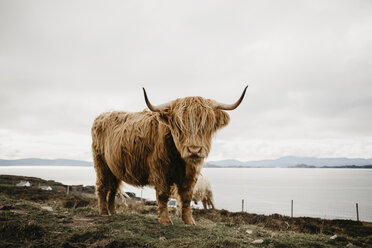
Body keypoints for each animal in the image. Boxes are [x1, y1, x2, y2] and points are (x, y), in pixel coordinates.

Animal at [91, 86, 247, 226]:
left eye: (206, 124)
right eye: (179, 125)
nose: (194, 150)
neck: (180, 160)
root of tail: (102, 116)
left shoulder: (191, 175)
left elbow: (186, 197)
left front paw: (189, 221)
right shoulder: (160, 171)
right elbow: (163, 195)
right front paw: (165, 221)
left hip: (114, 168)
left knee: (113, 189)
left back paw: (113, 212)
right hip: (101, 164)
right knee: (102, 187)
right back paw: (104, 212)